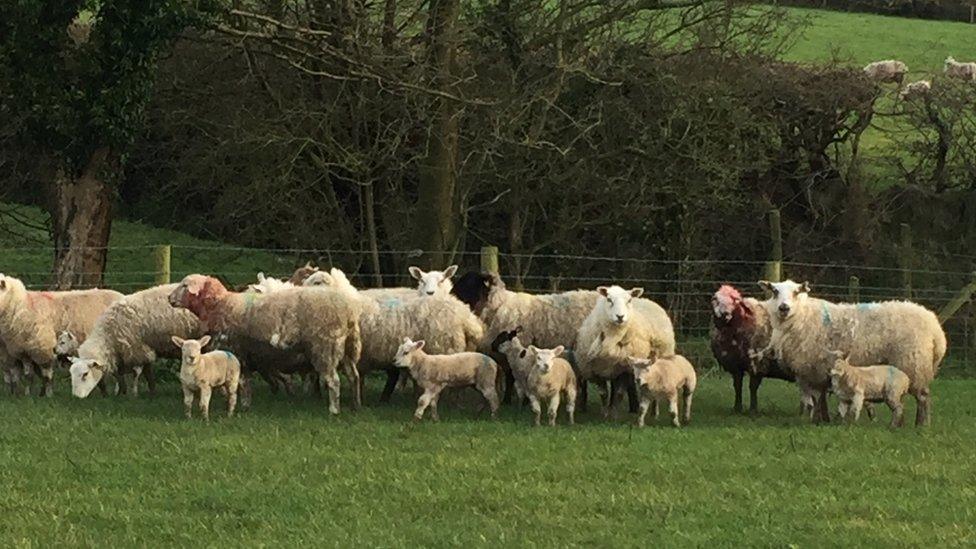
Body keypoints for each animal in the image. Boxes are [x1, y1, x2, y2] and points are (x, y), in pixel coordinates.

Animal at [67, 282, 201, 398]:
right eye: (71, 374)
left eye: (85, 374)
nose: (76, 397)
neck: (108, 335)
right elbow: (120, 374)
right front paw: (121, 392)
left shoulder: (139, 349)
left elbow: (146, 372)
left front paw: (149, 392)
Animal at [170, 272, 364, 414]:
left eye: (185, 285)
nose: (169, 298)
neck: (222, 305)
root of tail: (348, 309)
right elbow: (245, 384)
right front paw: (245, 406)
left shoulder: (237, 354)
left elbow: (241, 384)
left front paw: (241, 407)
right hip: (348, 350)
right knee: (354, 376)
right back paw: (356, 405)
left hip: (325, 349)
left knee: (334, 381)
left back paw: (334, 410)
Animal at [576, 284, 676, 418]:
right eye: (609, 299)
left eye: (629, 300)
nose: (620, 317)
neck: (612, 340)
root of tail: (646, 299)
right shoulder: (594, 369)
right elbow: (603, 393)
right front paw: (604, 413)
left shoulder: (626, 369)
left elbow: (618, 393)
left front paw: (614, 415)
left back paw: (654, 413)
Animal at [708, 284, 792, 414]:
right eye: (715, 299)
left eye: (735, 300)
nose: (725, 314)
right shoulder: (735, 364)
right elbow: (737, 386)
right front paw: (737, 408)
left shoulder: (757, 362)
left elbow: (753, 387)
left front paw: (753, 410)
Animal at [760, 280, 940, 426]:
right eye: (775, 291)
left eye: (796, 292)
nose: (784, 308)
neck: (802, 316)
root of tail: (934, 325)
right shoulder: (820, 371)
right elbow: (822, 399)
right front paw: (825, 420)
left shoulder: (813, 370)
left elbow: (816, 398)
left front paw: (817, 421)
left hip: (914, 365)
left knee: (923, 397)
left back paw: (921, 425)